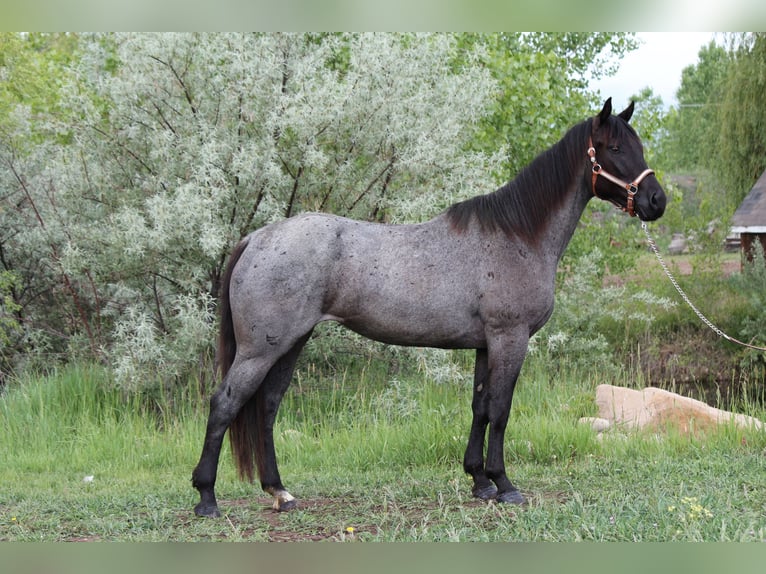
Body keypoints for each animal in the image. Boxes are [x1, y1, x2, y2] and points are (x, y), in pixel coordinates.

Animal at [192, 98, 666, 517]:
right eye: (615, 148)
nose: (657, 201)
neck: (517, 235)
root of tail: (257, 237)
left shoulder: (485, 345)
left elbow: (480, 408)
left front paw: (479, 481)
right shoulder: (509, 339)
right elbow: (501, 410)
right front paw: (505, 485)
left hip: (290, 343)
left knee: (267, 408)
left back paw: (279, 492)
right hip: (261, 349)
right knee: (225, 404)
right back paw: (207, 498)